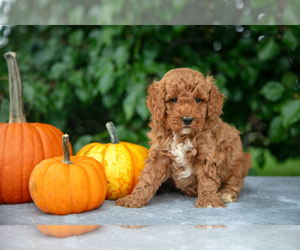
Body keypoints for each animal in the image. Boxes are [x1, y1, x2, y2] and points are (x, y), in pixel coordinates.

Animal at [116, 67, 252, 208]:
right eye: (174, 100)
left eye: (198, 100)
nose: (187, 119)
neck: (182, 136)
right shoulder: (160, 156)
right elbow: (147, 179)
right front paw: (133, 199)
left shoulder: (207, 154)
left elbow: (207, 179)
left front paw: (209, 200)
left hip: (240, 161)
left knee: (235, 182)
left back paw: (226, 193)